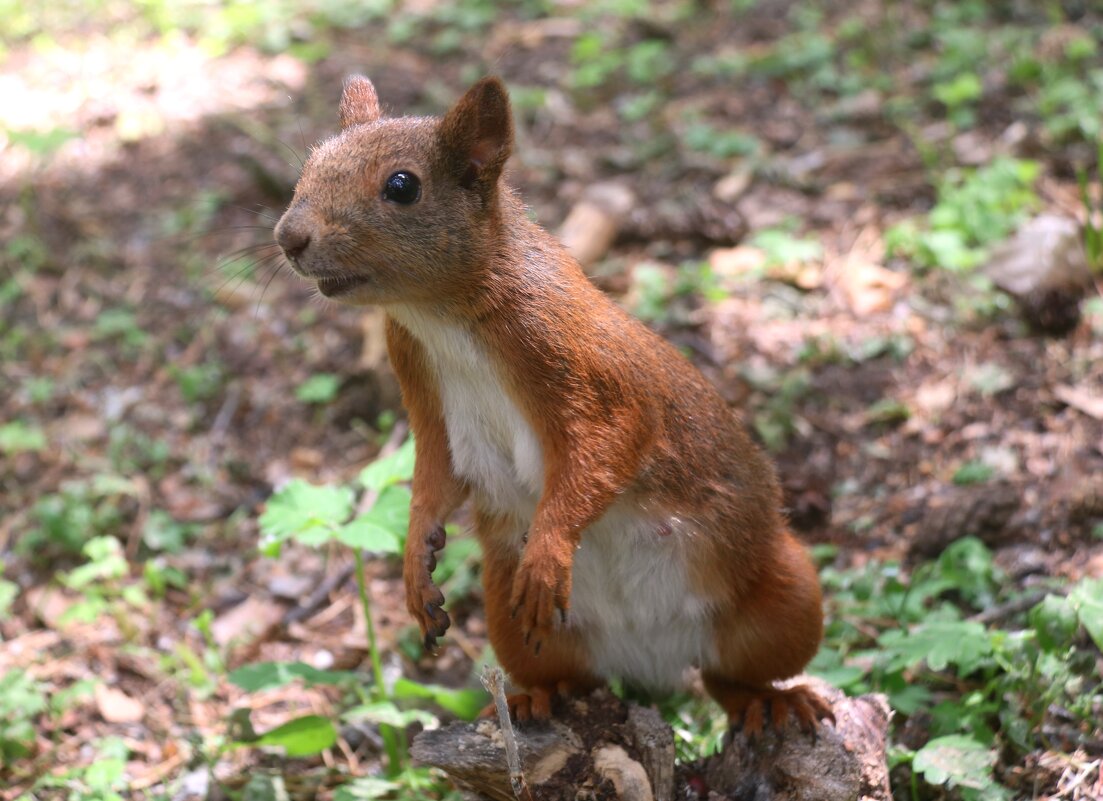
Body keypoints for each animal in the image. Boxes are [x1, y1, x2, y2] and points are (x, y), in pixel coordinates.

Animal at [273, 75, 829, 732]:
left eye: (402, 186)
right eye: (309, 164)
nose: (288, 238)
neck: (439, 317)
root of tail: (659, 660)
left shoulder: (577, 359)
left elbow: (608, 448)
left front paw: (547, 555)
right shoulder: (420, 388)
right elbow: (433, 475)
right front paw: (414, 559)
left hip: (783, 597)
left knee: (730, 676)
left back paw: (773, 699)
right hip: (508, 619)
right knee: (576, 675)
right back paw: (539, 697)